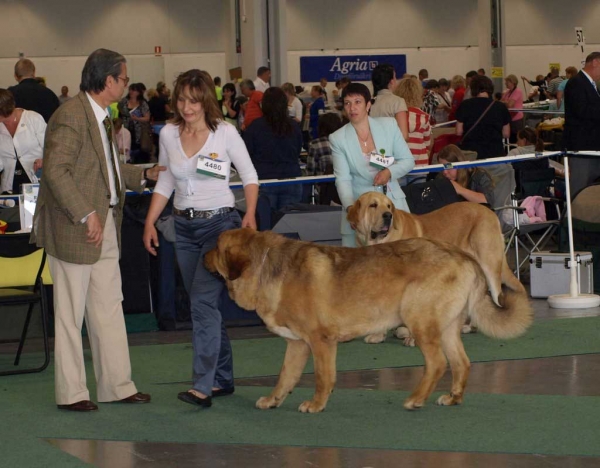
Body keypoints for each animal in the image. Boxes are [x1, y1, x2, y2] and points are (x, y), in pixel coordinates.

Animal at [205, 229, 528, 412]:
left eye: (216, 246)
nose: (202, 256)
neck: (265, 266)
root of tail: (464, 256)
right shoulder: (297, 344)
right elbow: (285, 377)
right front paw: (273, 401)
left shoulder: (320, 341)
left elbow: (323, 377)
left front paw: (316, 405)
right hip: (447, 328)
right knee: (461, 364)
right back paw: (452, 398)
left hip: (421, 323)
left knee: (437, 364)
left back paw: (415, 399)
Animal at [346, 193, 524, 344]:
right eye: (373, 205)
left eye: (389, 206)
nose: (388, 215)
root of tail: (490, 212)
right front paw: (378, 335)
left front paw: (412, 338)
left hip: (489, 264)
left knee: (495, 294)